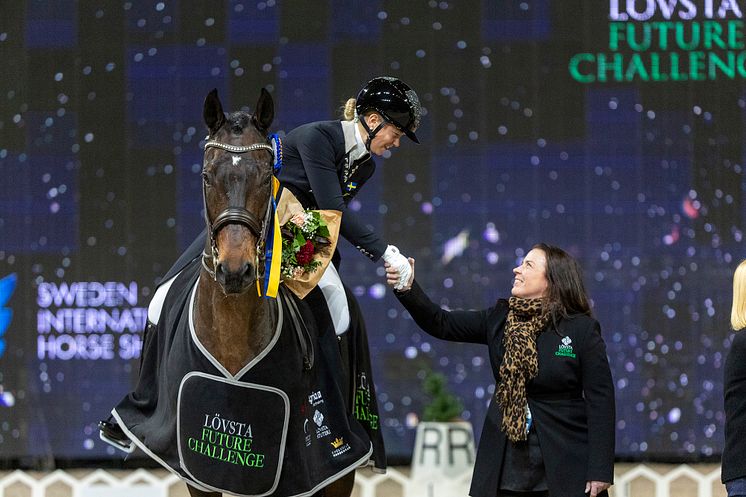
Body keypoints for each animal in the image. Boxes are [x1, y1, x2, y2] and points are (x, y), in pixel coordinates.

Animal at [104, 90, 370, 496]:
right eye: (206, 175)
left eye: (266, 176)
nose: (234, 270)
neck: (231, 334)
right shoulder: (198, 469)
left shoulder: (288, 471)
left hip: (342, 465)